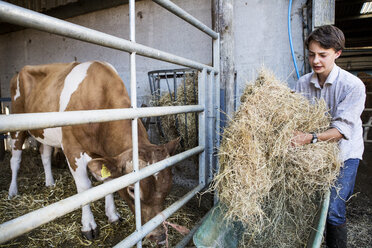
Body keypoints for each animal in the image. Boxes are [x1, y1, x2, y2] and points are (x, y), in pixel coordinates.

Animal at [7, 61, 179, 241]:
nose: (159, 236)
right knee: (15, 160)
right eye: (132, 189)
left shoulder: (105, 155)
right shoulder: (72, 149)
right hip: (17, 125)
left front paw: (113, 215)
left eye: (168, 186)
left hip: (45, 132)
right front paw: (89, 226)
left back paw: (50, 182)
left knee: (45, 155)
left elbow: (108, 183)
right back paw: (13, 191)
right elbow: (84, 188)